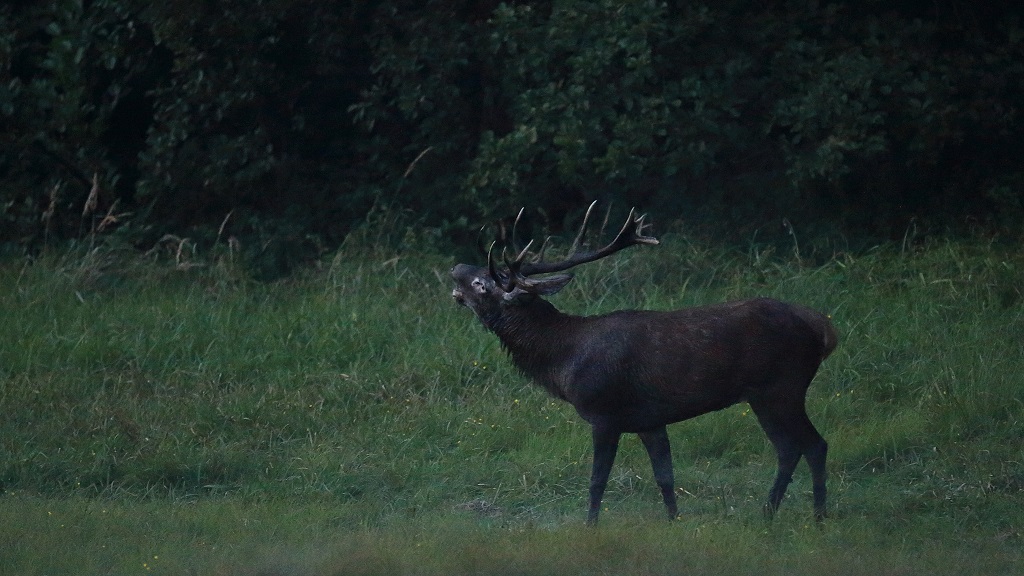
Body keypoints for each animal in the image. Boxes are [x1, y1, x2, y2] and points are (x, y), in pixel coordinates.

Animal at [450, 203, 838, 524]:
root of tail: (824, 328)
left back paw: (816, 517)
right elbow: (665, 477)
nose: (456, 267)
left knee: (812, 444)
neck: (564, 358)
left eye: (482, 283)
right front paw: (674, 522)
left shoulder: (605, 413)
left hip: (783, 386)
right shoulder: (649, 420)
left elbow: (597, 480)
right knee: (789, 449)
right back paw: (770, 513)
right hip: (766, 394)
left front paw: (590, 527)